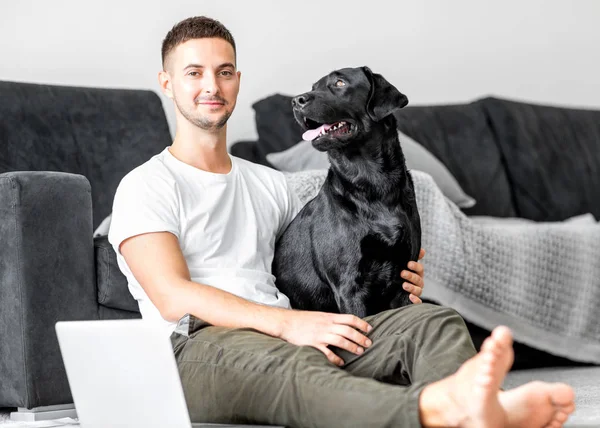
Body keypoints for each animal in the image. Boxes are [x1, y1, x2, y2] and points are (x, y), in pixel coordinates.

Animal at [274, 66, 422, 318]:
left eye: (340, 83)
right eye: (314, 87)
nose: (296, 101)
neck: (373, 185)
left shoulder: (405, 277)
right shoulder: (349, 286)